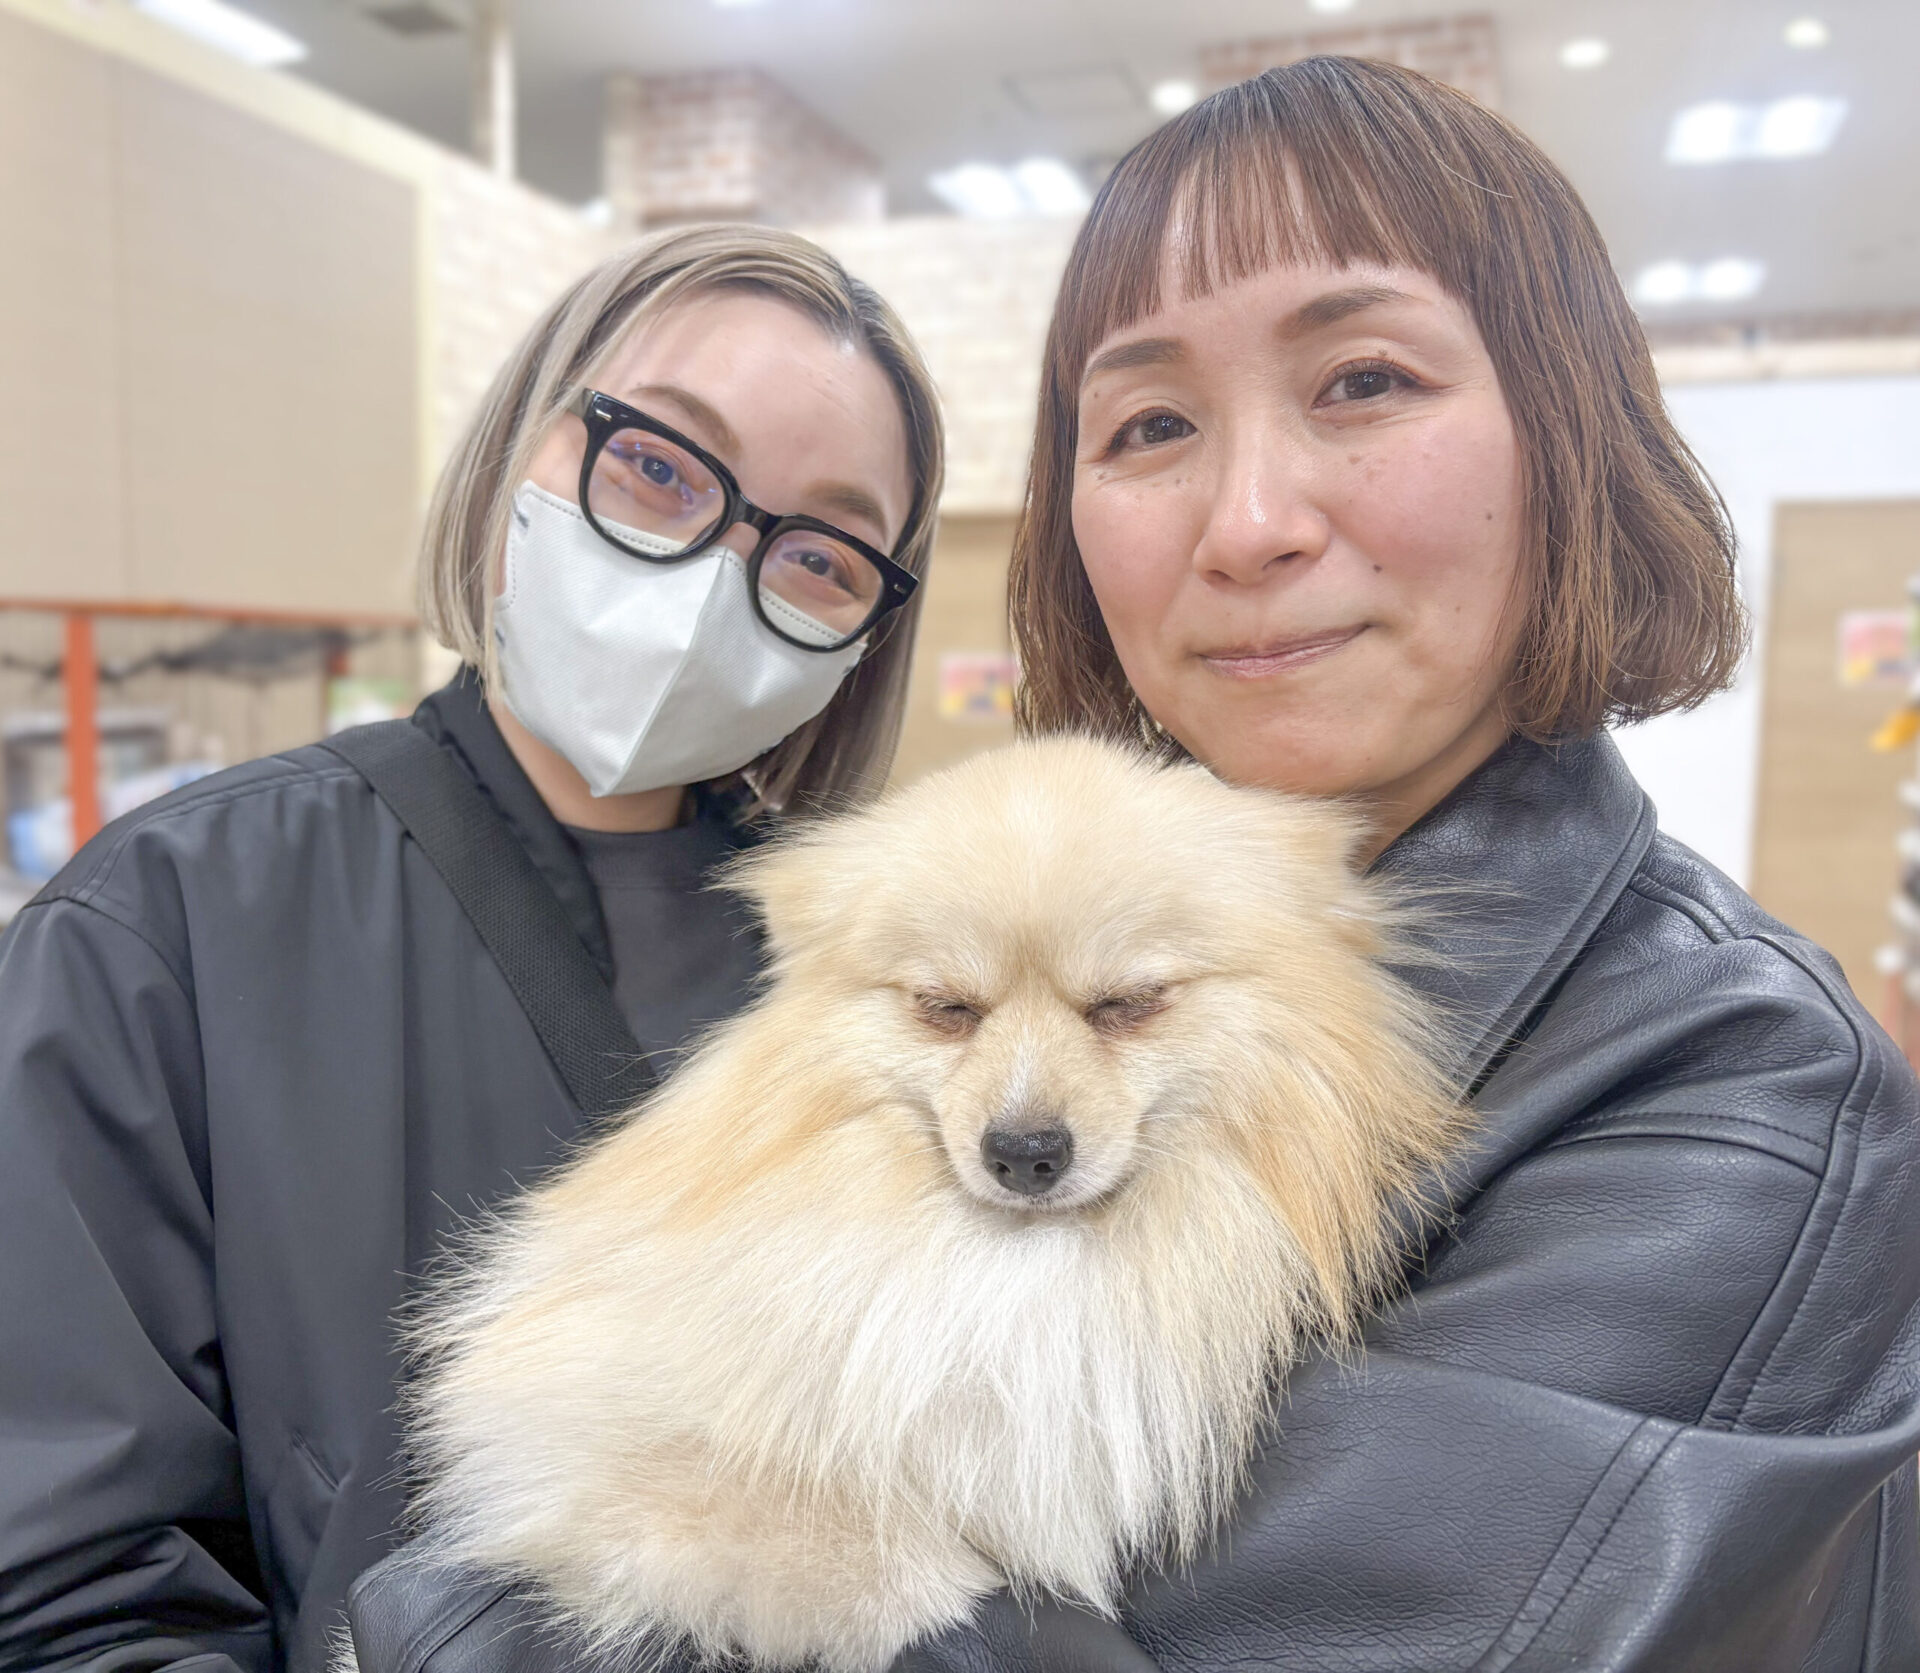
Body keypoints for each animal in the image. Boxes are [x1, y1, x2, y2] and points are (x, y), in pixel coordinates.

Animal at [382, 736, 1464, 1672]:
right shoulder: (596, 1408)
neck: (1012, 1264)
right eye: (947, 1009)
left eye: (1126, 1004)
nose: (1024, 1150)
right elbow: (827, 1527)